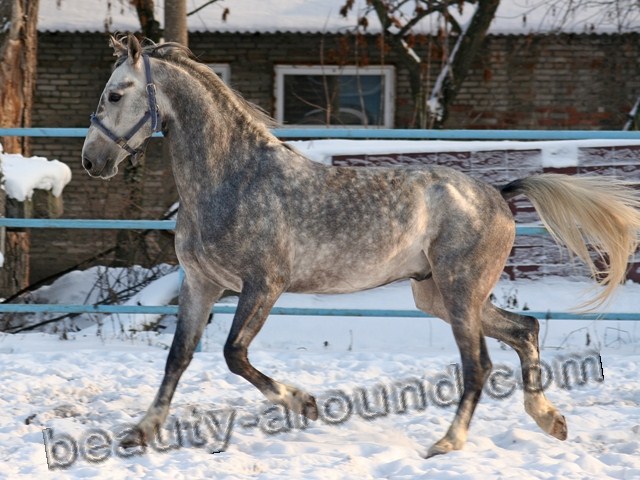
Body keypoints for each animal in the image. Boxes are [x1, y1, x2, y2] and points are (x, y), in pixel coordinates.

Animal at [82, 34, 640, 458]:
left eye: (116, 94)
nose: (92, 161)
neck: (233, 179)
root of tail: (498, 196)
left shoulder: (263, 285)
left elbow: (233, 354)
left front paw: (304, 404)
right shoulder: (201, 284)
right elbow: (178, 358)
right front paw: (139, 433)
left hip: (459, 293)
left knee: (478, 364)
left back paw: (448, 443)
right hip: (437, 295)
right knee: (525, 330)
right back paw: (550, 420)